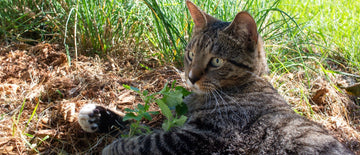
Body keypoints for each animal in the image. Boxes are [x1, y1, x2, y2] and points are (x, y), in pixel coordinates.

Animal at [77, 0, 352, 154]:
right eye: (190, 54)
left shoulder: (204, 136)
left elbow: (148, 140)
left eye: (216, 61)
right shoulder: (181, 120)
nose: (190, 77)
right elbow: (140, 121)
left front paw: (112, 148)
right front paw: (99, 115)